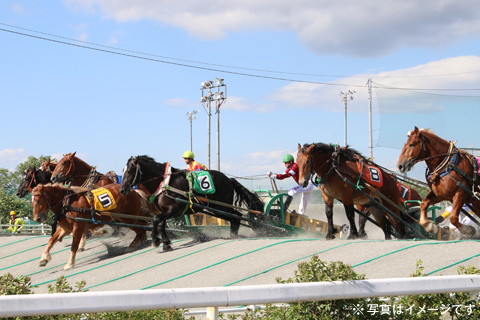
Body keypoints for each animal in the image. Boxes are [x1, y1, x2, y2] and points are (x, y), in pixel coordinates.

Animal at [118, 156, 264, 251]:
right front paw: (166, 244)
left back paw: (234, 235)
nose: (122, 190)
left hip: (221, 204)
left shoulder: (174, 210)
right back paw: (233, 235)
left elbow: (156, 220)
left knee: (237, 215)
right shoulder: (166, 212)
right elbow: (161, 224)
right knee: (234, 218)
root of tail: (228, 179)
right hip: (215, 208)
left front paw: (155, 240)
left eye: (129, 171)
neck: (165, 183)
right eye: (122, 171)